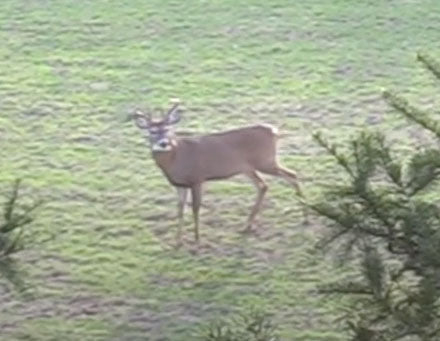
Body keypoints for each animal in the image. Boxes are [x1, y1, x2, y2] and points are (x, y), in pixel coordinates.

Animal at [132, 101, 308, 244]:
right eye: (152, 131)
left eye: (168, 129)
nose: (164, 143)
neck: (176, 159)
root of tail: (274, 131)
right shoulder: (179, 185)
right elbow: (180, 210)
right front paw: (177, 241)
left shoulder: (197, 178)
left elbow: (195, 208)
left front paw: (197, 240)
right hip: (248, 167)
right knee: (264, 185)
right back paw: (247, 226)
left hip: (265, 161)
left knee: (292, 175)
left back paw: (305, 217)